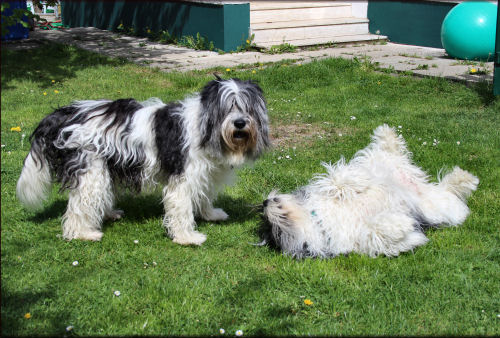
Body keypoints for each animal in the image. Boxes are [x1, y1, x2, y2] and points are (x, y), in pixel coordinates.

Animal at [16, 77, 270, 246]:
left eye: (247, 108)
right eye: (228, 108)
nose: (239, 123)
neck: (205, 126)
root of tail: (65, 113)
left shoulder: (204, 173)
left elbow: (204, 194)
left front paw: (210, 214)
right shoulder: (182, 177)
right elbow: (181, 207)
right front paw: (187, 237)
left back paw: (107, 213)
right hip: (89, 168)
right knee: (80, 204)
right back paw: (83, 233)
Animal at [260, 125, 478, 258]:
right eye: (273, 229)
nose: (264, 203)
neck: (319, 220)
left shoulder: (330, 182)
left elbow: (338, 180)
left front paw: (357, 183)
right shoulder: (365, 241)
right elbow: (379, 232)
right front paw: (403, 225)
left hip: (377, 161)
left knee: (387, 150)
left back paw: (387, 134)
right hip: (438, 206)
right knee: (449, 191)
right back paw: (465, 178)